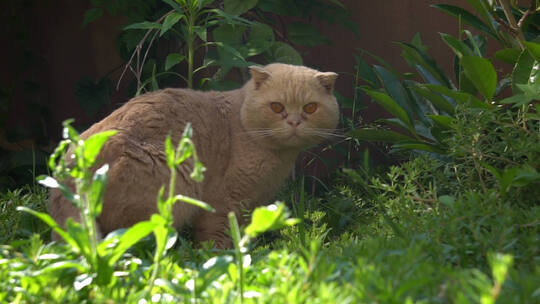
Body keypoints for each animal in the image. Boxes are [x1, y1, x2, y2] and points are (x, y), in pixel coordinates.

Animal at [49, 63, 338, 248]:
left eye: (310, 108)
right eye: (277, 107)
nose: (294, 122)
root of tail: (69, 174)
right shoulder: (225, 202)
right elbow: (217, 238)